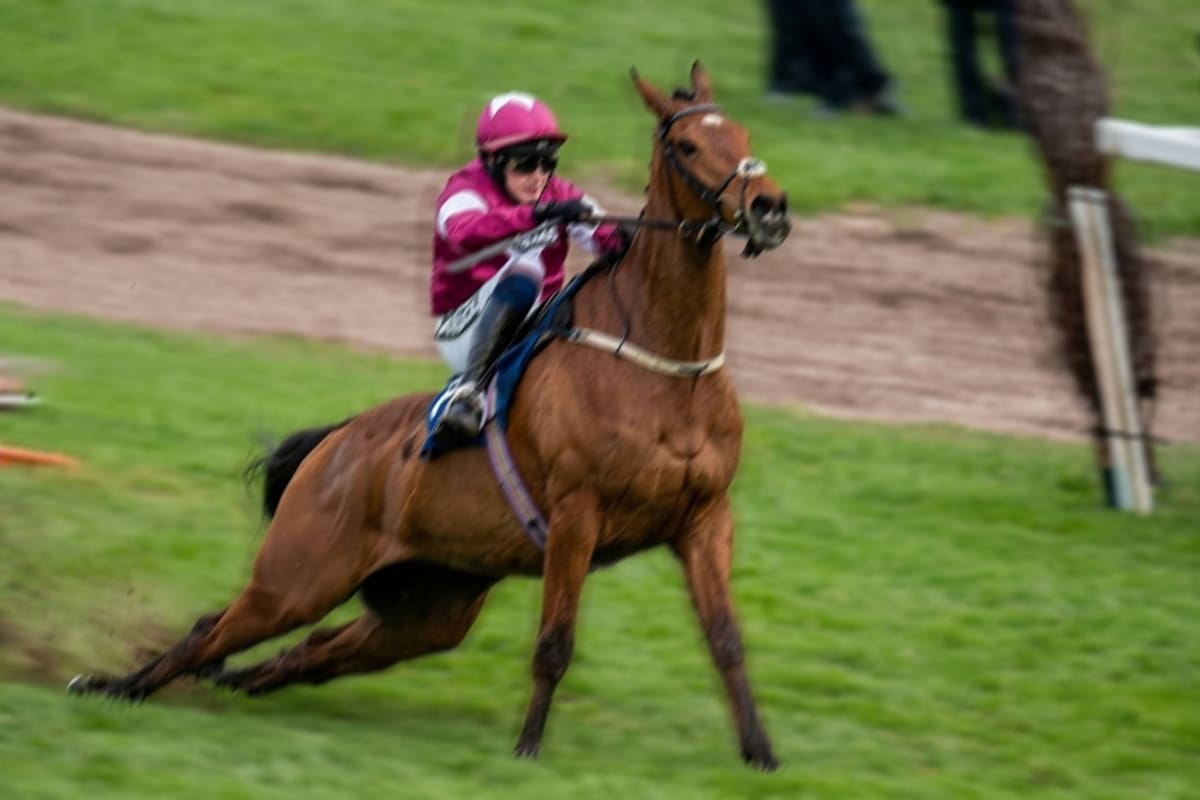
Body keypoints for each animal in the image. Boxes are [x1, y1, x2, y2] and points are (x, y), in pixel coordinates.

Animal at [68, 62, 792, 771]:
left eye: (744, 133)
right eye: (688, 145)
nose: (769, 207)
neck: (662, 367)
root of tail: (333, 444)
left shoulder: (704, 518)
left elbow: (726, 639)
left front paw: (760, 751)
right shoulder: (576, 516)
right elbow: (555, 642)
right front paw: (528, 748)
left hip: (426, 607)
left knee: (314, 650)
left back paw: (222, 680)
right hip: (299, 576)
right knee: (213, 630)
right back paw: (109, 684)